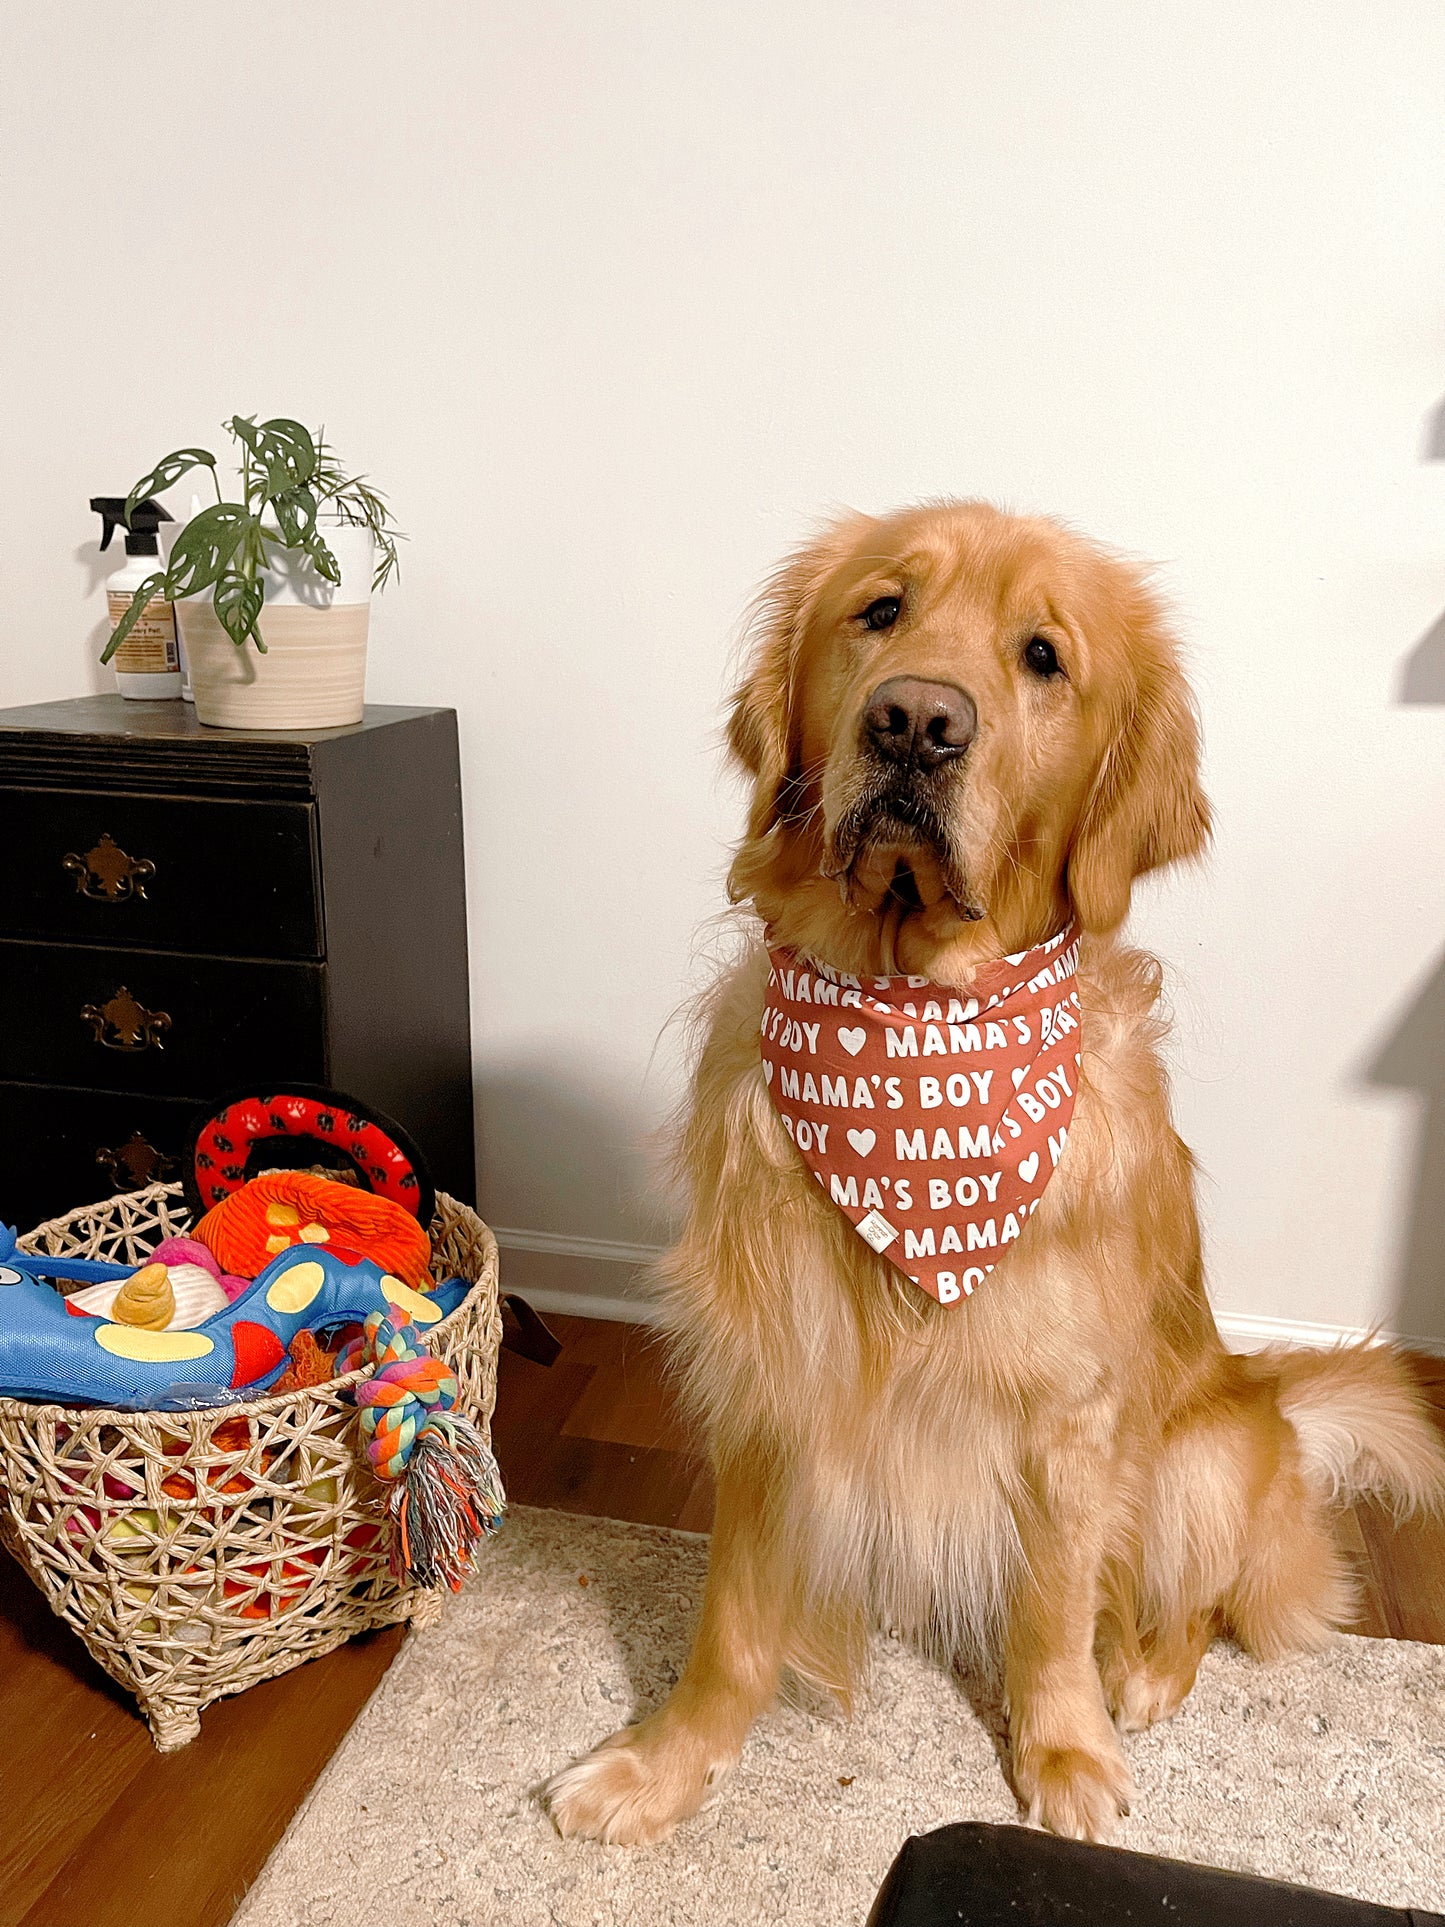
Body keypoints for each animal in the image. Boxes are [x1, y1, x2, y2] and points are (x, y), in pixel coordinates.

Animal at [547, 504, 1445, 1842]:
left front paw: (1060, 1748)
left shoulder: (1069, 1421)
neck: (912, 1017)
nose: (914, 723)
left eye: (1042, 656)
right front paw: (667, 1762)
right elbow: (731, 1626)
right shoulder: (775, 1382)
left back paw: (1146, 1671)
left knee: (1201, 1598)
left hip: (1198, 1460)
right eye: (879, 611)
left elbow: (1051, 1612)